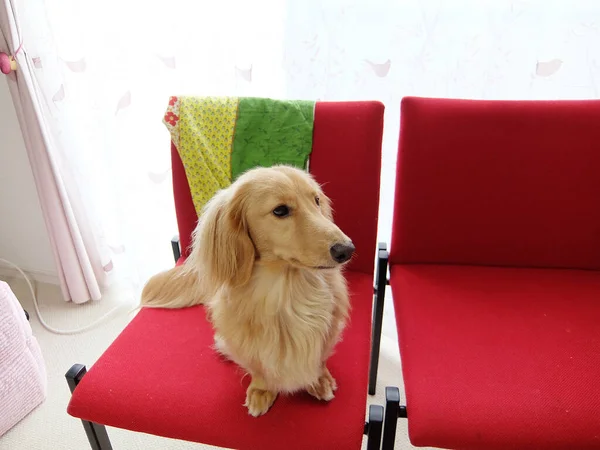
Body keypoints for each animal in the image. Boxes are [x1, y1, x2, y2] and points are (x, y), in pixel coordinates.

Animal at [141, 166, 356, 418]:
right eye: (280, 210)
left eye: (316, 200)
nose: (347, 249)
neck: (287, 292)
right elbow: (258, 367)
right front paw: (262, 389)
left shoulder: (329, 331)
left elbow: (320, 359)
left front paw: (319, 379)